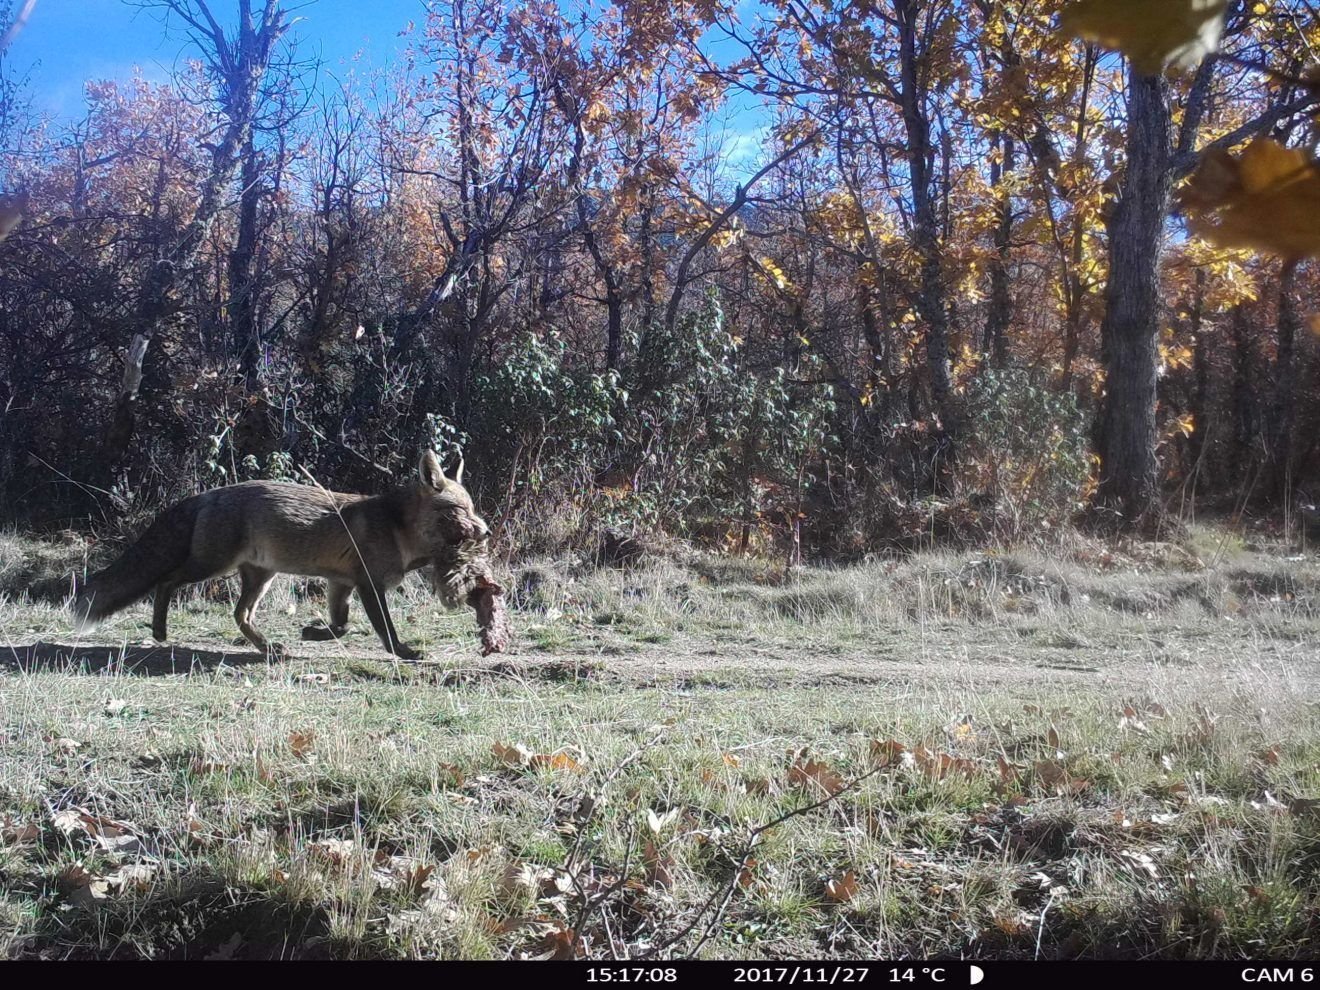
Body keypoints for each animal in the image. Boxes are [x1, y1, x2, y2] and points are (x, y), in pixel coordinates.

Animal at [70, 454, 491, 662]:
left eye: (473, 508)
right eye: (460, 510)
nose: (486, 532)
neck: (396, 529)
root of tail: (207, 494)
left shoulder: (341, 583)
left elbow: (342, 626)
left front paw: (313, 633)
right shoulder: (368, 585)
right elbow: (384, 630)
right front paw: (403, 653)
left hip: (260, 577)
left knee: (240, 615)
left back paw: (266, 647)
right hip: (212, 566)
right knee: (165, 581)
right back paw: (159, 630)